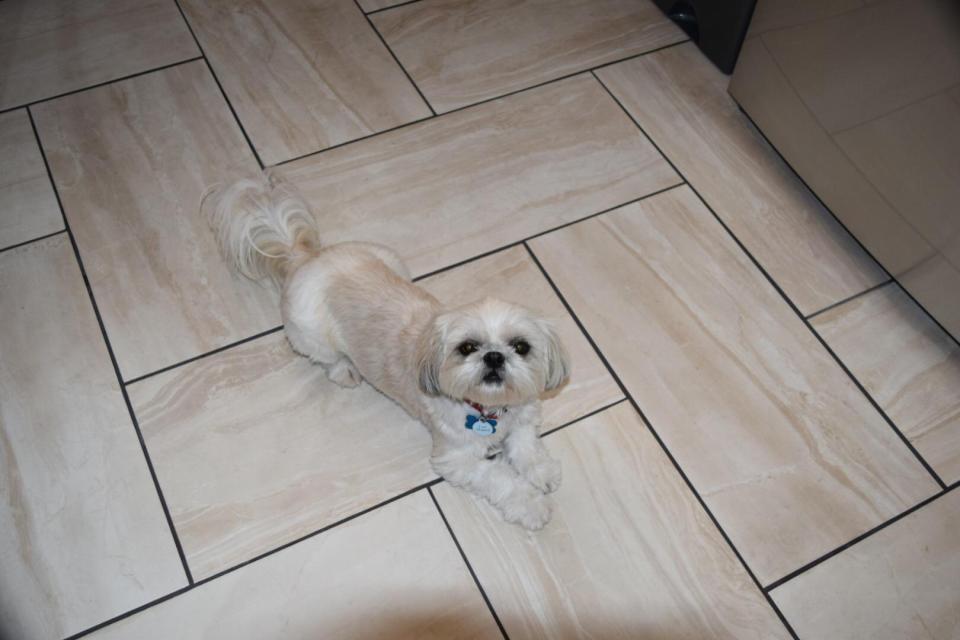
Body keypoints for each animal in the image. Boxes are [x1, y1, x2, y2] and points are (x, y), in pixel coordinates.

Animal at [204, 180, 568, 528]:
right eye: (467, 347)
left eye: (521, 347)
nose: (494, 356)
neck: (491, 410)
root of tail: (305, 257)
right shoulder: (457, 458)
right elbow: (500, 478)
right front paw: (532, 505)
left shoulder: (523, 418)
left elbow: (527, 448)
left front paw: (543, 472)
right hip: (310, 333)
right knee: (327, 358)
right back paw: (345, 370)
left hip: (389, 258)